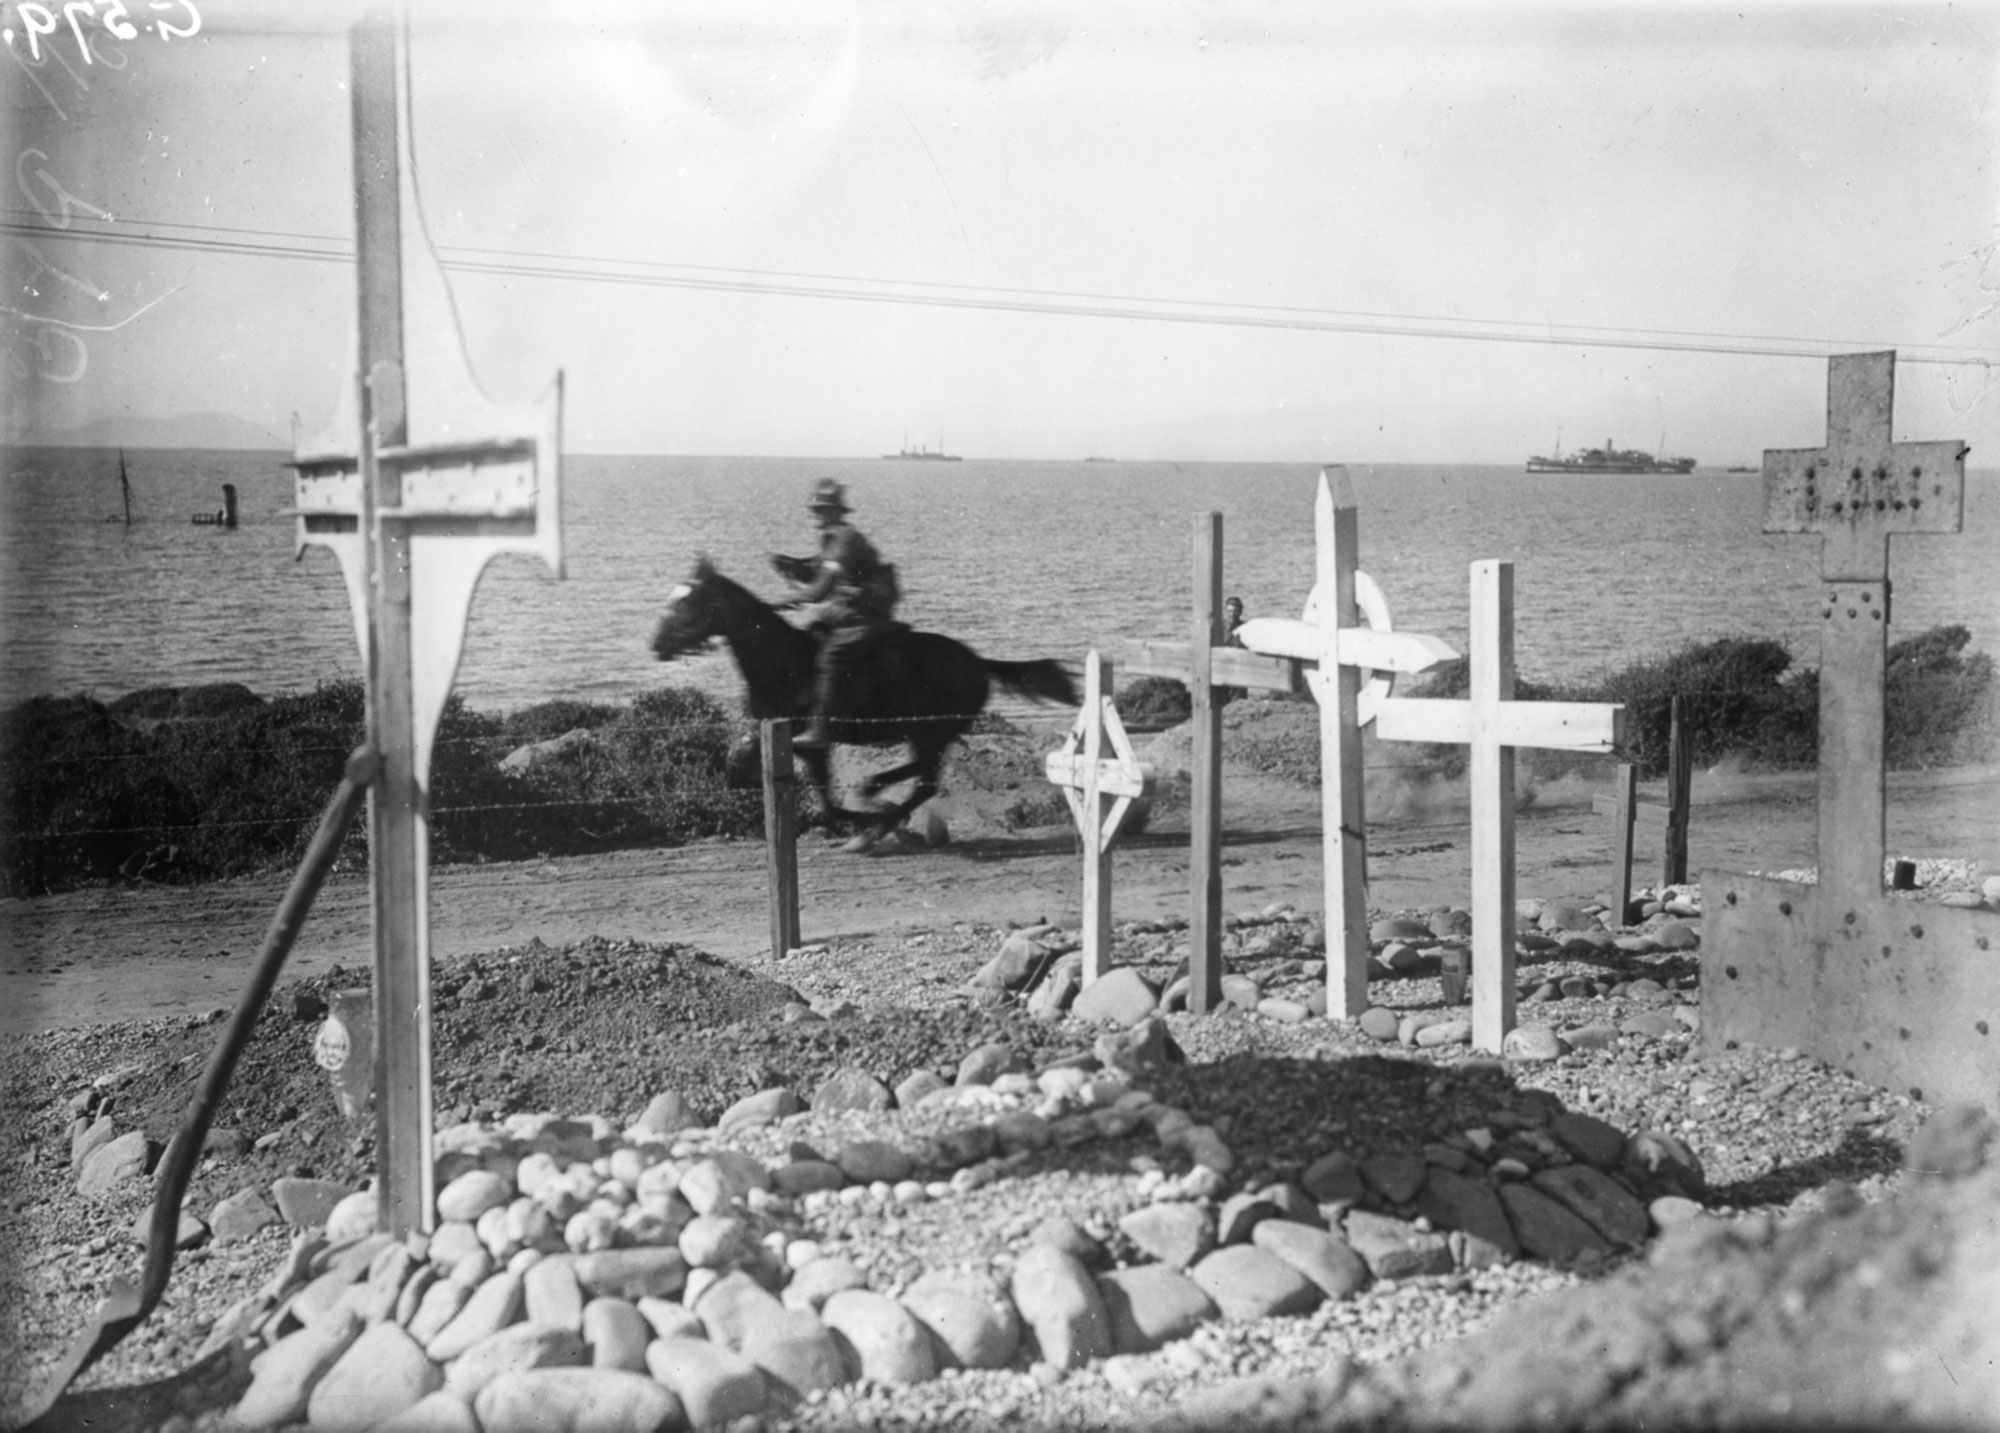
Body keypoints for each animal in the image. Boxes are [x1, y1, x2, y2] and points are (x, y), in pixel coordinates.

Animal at [652, 556, 1080, 852]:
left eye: (689, 603)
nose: (656, 645)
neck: (784, 662)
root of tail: (979, 662)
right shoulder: (785, 739)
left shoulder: (813, 744)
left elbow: (829, 805)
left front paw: (872, 826)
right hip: (925, 733)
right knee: (923, 779)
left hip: (929, 731)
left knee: (925, 780)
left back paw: (879, 809)